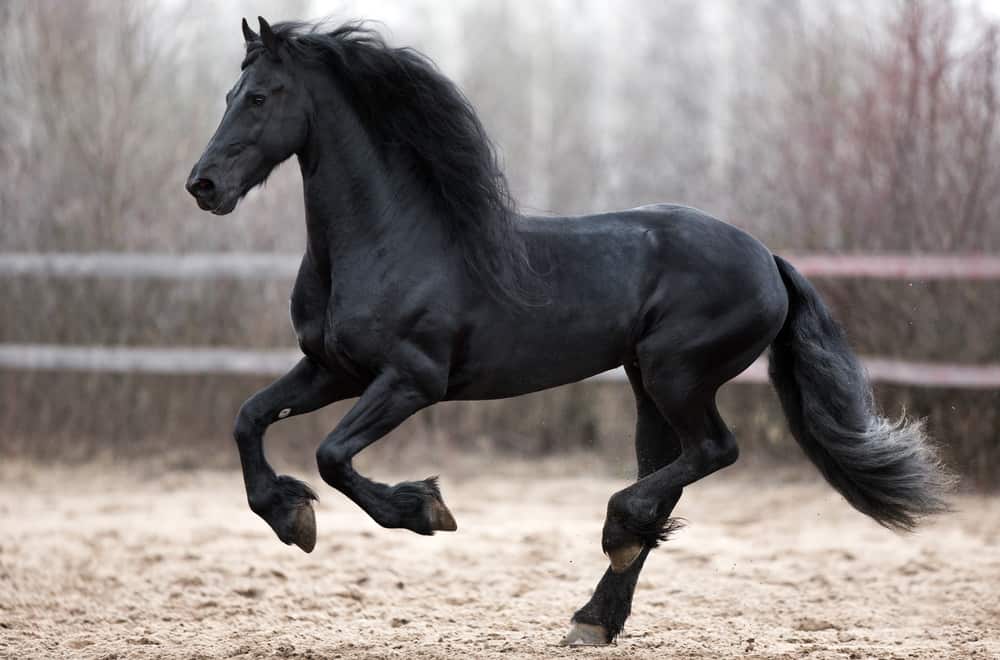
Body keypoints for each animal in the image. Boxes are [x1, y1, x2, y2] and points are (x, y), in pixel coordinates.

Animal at [186, 17, 952, 645]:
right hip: (647, 383)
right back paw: (594, 616)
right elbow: (248, 419)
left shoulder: (411, 379)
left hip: (678, 374)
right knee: (669, 476)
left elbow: (333, 456)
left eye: (261, 97)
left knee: (712, 452)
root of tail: (767, 258)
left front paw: (423, 509)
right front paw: (288, 516)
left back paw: (614, 539)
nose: (204, 186)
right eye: (227, 95)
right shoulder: (329, 369)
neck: (388, 240)